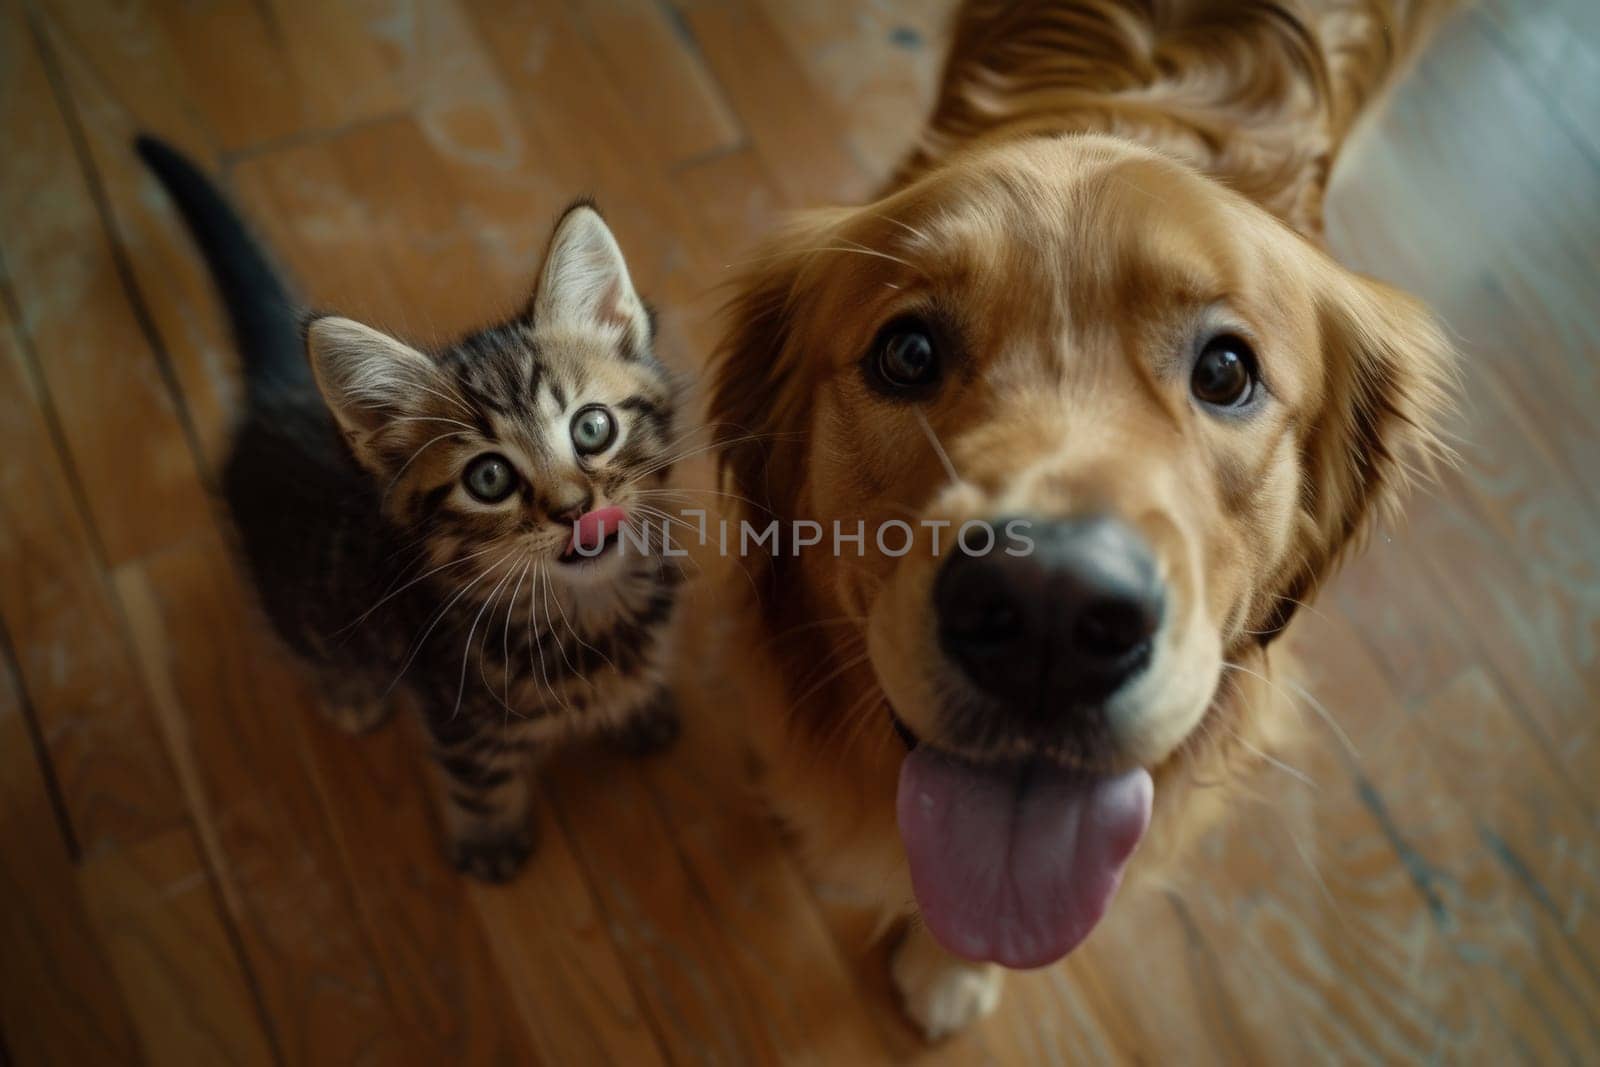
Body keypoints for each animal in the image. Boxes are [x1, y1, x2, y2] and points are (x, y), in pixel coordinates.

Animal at [140, 137, 684, 883]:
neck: (587, 611)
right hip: (293, 586)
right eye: (489, 477)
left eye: (592, 428)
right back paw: (349, 691)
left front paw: (643, 708)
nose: (578, 508)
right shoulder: (456, 713)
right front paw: (490, 841)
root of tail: (285, 387)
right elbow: (480, 779)